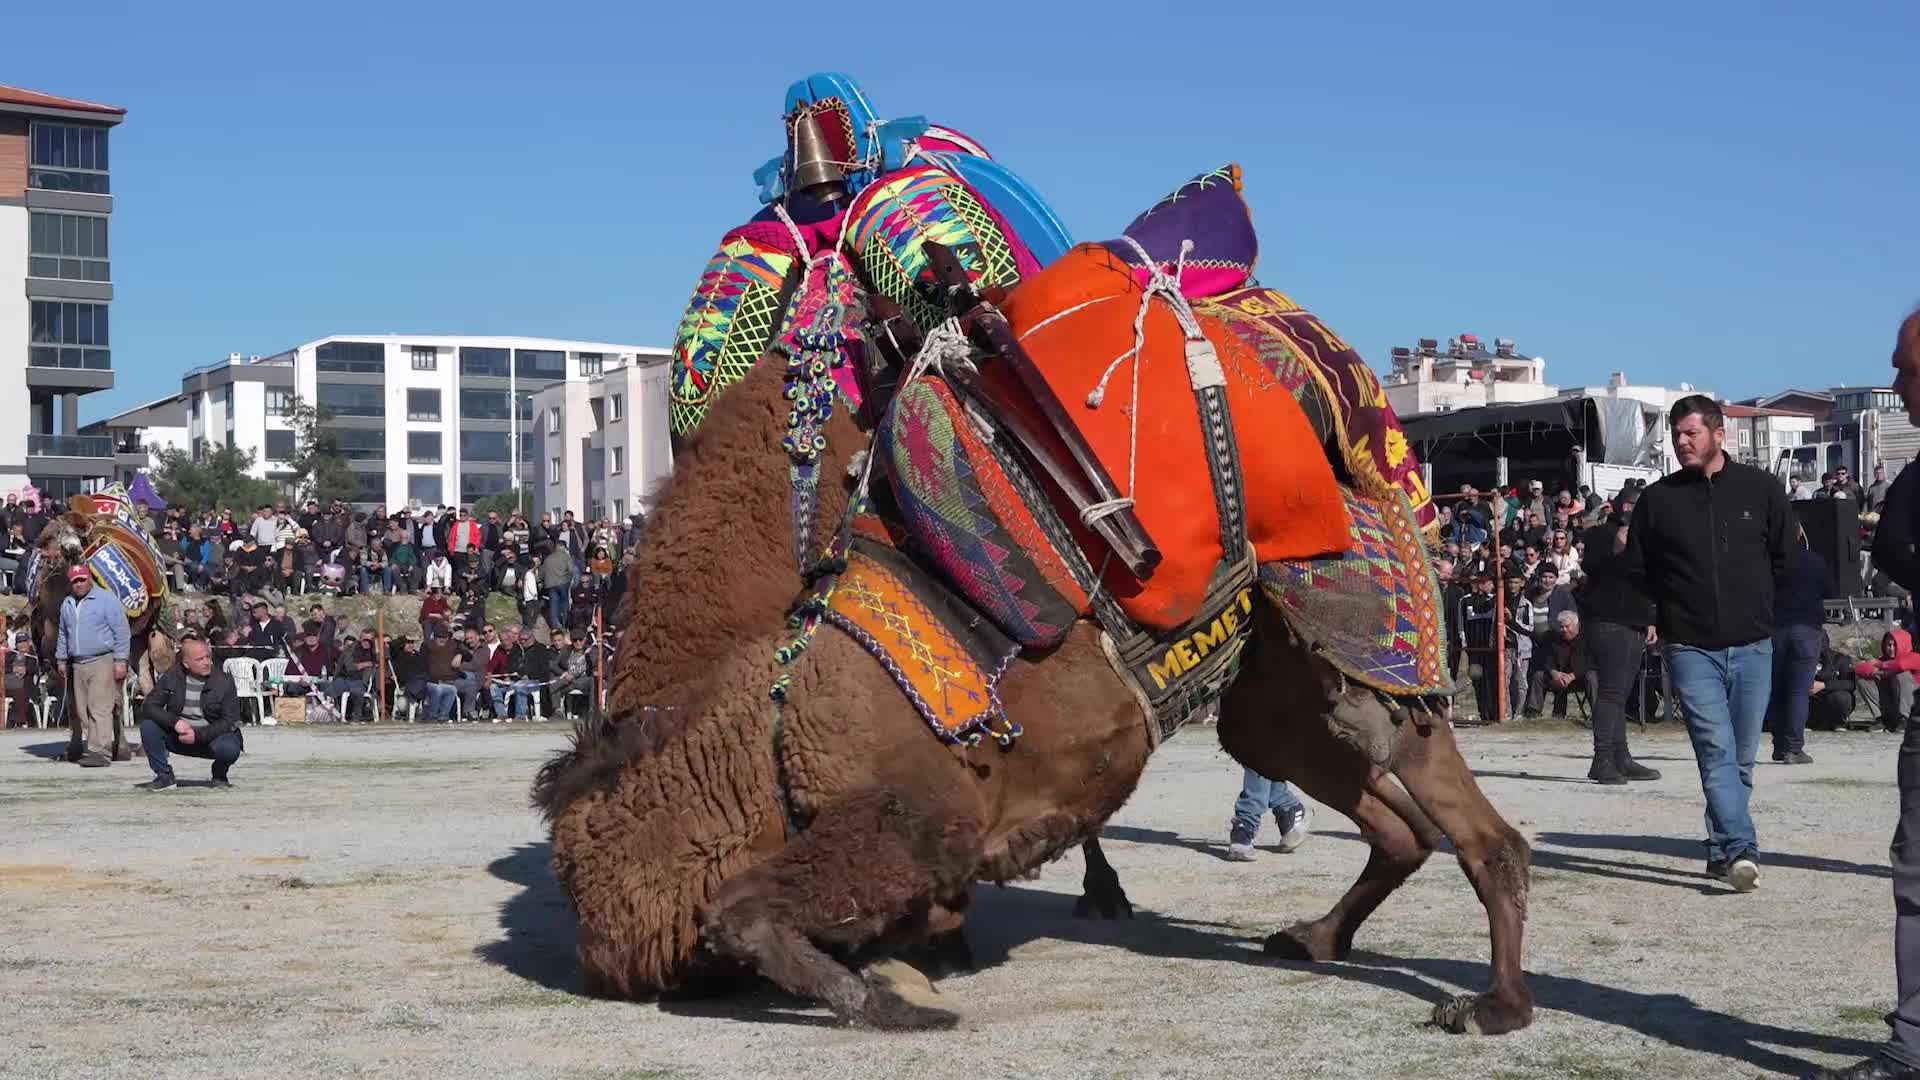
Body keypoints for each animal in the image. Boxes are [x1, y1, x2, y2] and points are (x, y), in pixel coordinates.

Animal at [537, 345, 1528, 1037]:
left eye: (600, 871)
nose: (594, 959)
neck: (762, 723)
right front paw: (912, 966)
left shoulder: (914, 820)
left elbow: (740, 911)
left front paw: (903, 1004)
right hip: (1276, 702)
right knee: (1392, 825)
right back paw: (1314, 940)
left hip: (1367, 640)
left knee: (1484, 834)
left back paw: (1493, 1006)